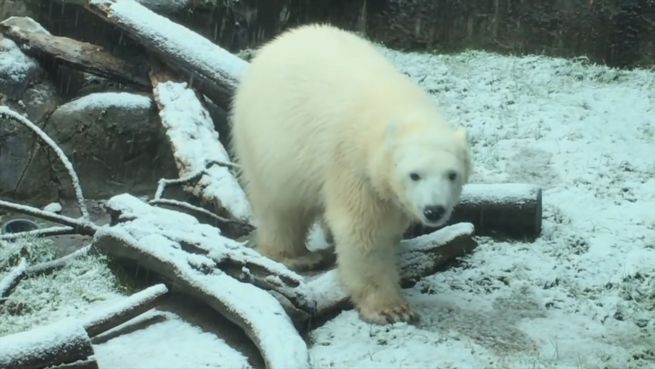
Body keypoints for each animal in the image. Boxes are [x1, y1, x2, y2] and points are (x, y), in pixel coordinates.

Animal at [231, 23, 472, 322]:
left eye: (452, 174)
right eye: (414, 175)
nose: (434, 210)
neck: (398, 110)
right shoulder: (351, 163)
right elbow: (363, 231)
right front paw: (392, 309)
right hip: (268, 141)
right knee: (280, 205)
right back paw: (295, 255)